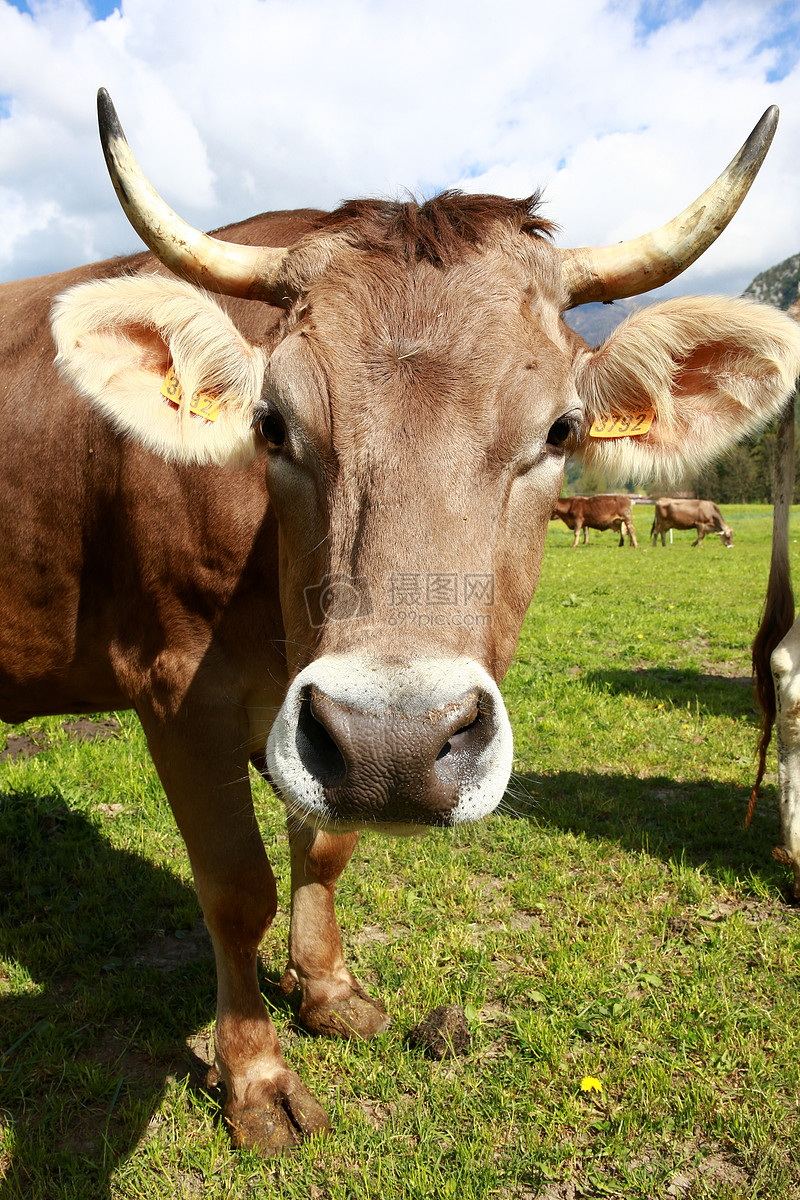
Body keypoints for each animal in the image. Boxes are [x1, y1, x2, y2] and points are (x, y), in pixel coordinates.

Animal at [1, 96, 800, 1152]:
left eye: (561, 430)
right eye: (269, 424)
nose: (395, 745)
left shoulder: (297, 718)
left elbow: (324, 847)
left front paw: (329, 992)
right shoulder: (172, 688)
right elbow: (236, 889)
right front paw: (254, 1077)